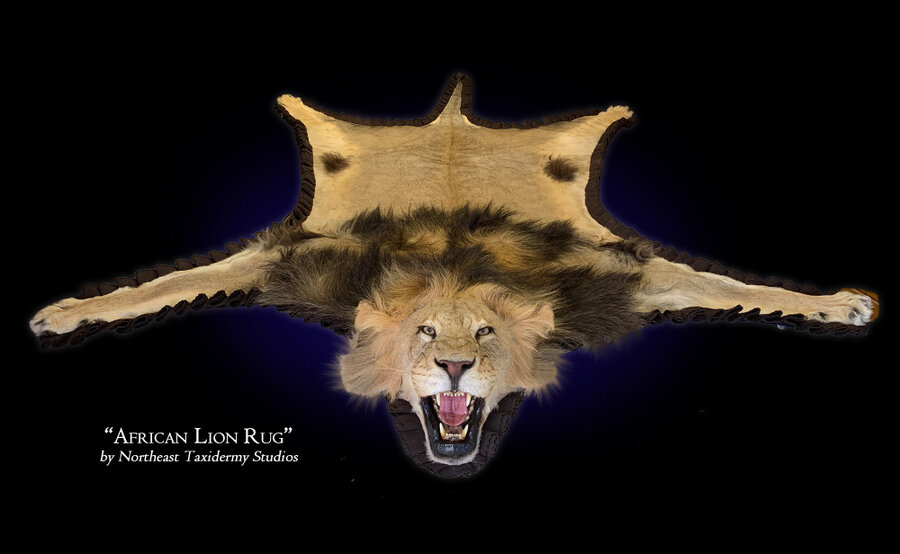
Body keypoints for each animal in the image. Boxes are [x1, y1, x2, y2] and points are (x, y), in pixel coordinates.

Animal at [29, 75, 878, 477]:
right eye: (423, 335)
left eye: (489, 336)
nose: (453, 368)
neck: (452, 273)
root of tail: (452, 119)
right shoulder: (300, 256)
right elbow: (160, 285)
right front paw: (62, 314)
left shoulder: (609, 271)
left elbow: (736, 288)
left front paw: (841, 305)